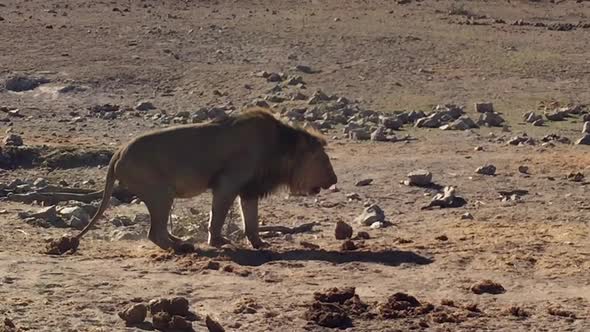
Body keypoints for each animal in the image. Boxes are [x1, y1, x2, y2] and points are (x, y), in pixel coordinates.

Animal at [75, 107, 338, 250]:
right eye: (324, 161)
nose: (334, 179)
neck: (280, 148)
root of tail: (118, 152)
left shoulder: (249, 189)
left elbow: (251, 221)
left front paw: (259, 243)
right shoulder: (227, 184)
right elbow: (218, 217)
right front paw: (218, 241)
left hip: (161, 196)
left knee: (159, 230)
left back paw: (179, 240)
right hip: (161, 193)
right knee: (154, 233)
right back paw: (181, 247)